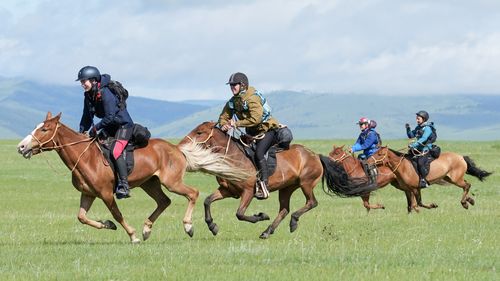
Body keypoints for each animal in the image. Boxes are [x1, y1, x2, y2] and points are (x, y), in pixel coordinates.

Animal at [16, 112, 199, 242]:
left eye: (44, 129)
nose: (21, 147)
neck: (86, 157)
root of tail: (176, 148)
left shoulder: (106, 193)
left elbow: (117, 214)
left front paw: (133, 236)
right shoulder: (88, 194)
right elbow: (81, 217)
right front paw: (108, 225)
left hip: (171, 182)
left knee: (193, 193)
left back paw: (188, 227)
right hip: (149, 183)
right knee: (164, 201)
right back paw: (147, 229)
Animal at [178, 121, 376, 238]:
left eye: (200, 132)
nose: (181, 144)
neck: (233, 157)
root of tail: (315, 155)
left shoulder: (248, 191)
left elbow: (240, 214)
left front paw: (260, 216)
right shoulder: (228, 191)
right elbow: (207, 201)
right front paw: (212, 226)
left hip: (306, 184)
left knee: (311, 203)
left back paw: (292, 222)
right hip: (286, 188)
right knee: (284, 209)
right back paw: (268, 231)